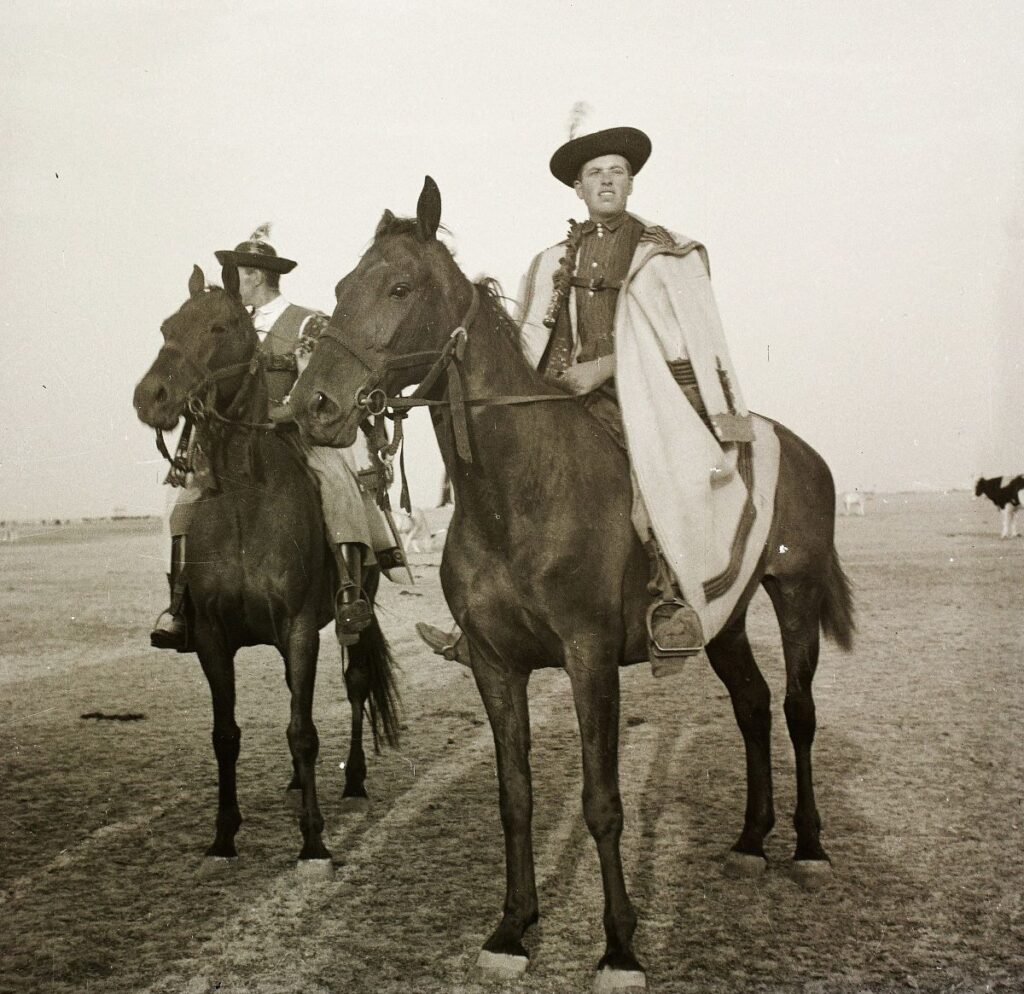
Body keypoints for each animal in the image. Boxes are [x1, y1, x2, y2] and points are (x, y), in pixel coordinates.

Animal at [135, 262, 403, 872]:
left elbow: (303, 731)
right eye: (166, 326)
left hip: (353, 617)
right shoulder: (212, 637)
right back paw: (294, 785)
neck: (243, 502)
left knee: (354, 687)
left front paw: (313, 840)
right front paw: (223, 835)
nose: (150, 396)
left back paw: (353, 781)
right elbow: (226, 734)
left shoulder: (301, 628)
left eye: (219, 327)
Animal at [290, 179, 856, 986]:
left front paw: (619, 947)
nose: (313, 407)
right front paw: (512, 928)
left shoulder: (590, 658)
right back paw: (751, 842)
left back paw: (808, 847)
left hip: (796, 595)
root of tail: (806, 452)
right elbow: (516, 797)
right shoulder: (495, 664)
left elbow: (601, 802)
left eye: (400, 287)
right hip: (724, 618)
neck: (516, 496)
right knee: (752, 707)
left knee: (798, 711)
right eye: (341, 288)